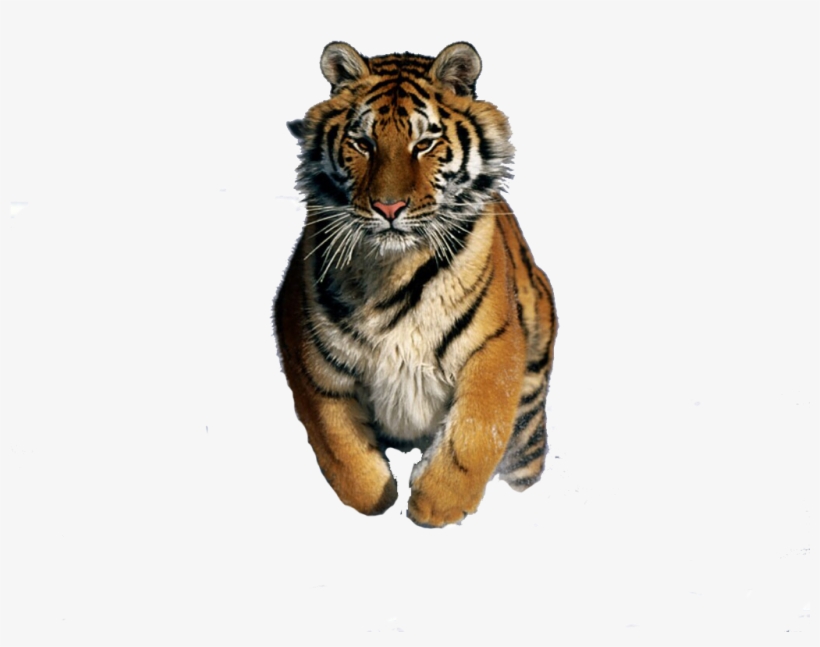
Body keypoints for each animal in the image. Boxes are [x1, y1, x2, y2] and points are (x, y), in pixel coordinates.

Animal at [274, 41, 557, 527]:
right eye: (362, 143)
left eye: (424, 144)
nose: (389, 208)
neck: (393, 268)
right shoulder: (306, 349)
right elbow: (342, 452)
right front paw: (382, 493)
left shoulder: (496, 345)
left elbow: (476, 432)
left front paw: (435, 505)